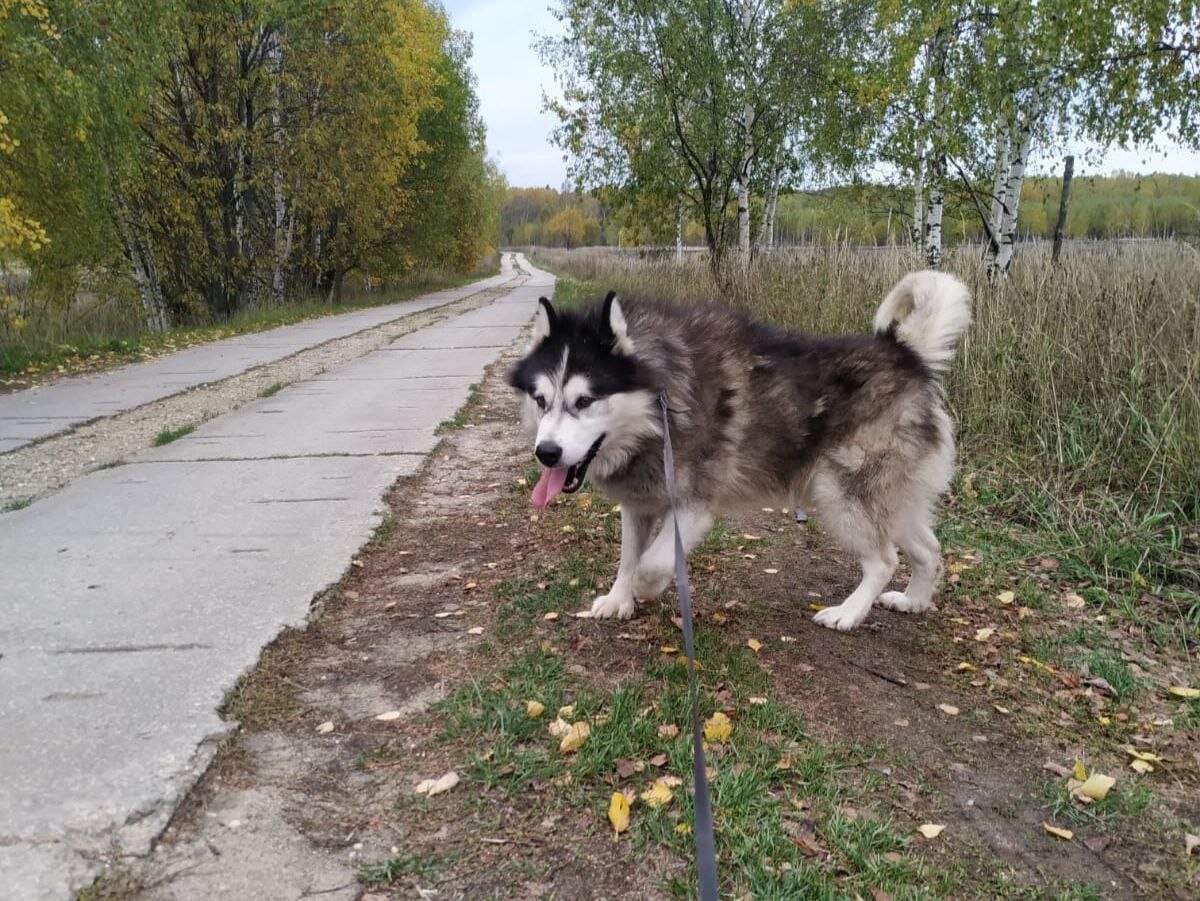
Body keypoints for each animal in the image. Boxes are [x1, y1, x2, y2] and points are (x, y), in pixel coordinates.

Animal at [504, 274, 964, 633]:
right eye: (541, 400)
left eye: (584, 401)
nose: (547, 453)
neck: (661, 409)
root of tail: (905, 353)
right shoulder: (638, 501)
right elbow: (628, 557)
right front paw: (620, 599)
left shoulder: (693, 506)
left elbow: (650, 565)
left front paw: (644, 590)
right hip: (889, 501)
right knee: (929, 549)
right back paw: (913, 601)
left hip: (840, 495)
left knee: (884, 559)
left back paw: (848, 614)